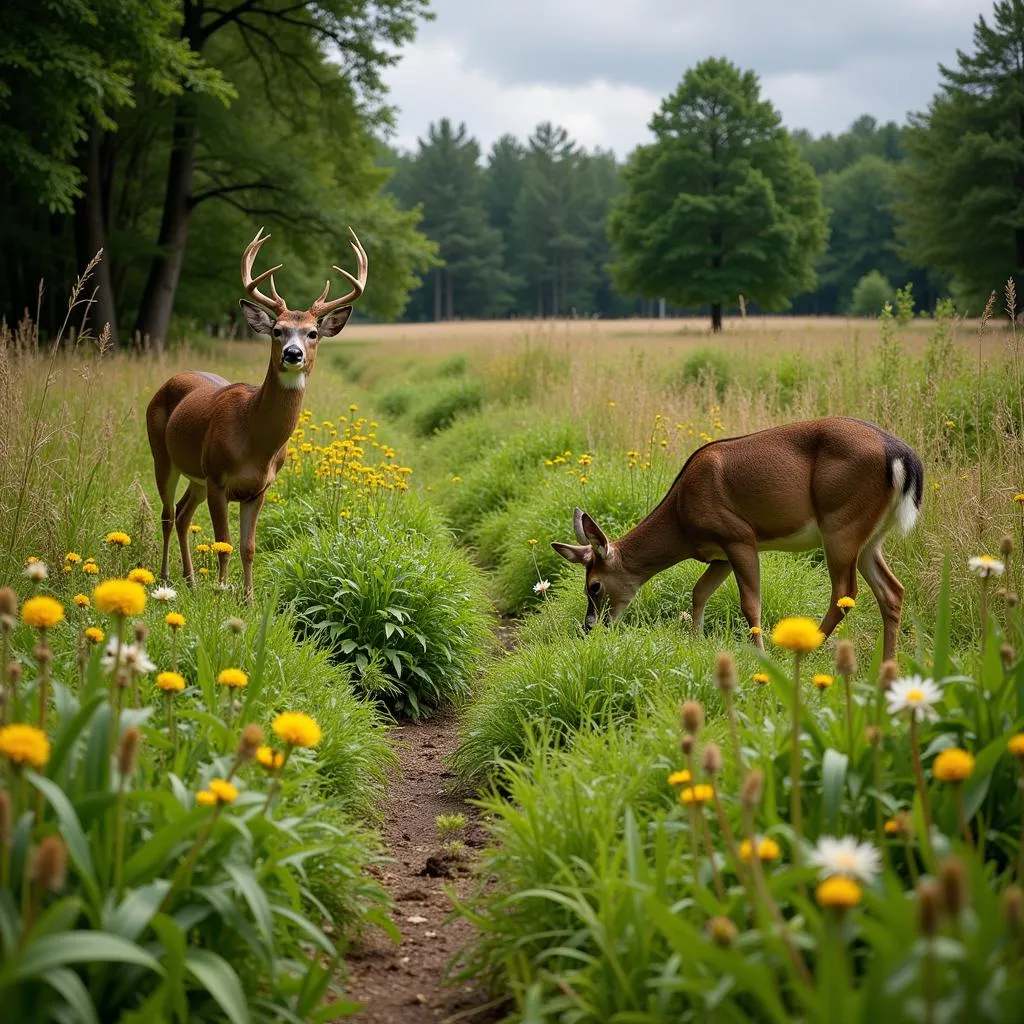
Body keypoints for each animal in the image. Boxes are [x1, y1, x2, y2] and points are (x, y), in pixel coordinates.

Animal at [144, 220, 368, 598]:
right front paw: (221, 594)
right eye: (277, 330)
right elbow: (223, 544)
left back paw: (190, 579)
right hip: (163, 454)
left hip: (197, 474)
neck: (253, 440)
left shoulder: (260, 488)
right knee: (167, 513)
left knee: (183, 512)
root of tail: (172, 378)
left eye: (313, 333)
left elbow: (248, 547)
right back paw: (165, 578)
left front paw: (247, 600)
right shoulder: (218, 477)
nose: (292, 354)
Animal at [557, 417, 925, 663]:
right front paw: (694, 642)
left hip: (841, 524)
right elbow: (699, 592)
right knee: (892, 590)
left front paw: (759, 656)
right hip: (870, 537)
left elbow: (750, 603)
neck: (681, 518)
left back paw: (805, 651)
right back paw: (887, 665)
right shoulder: (718, 554)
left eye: (594, 586)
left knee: (845, 594)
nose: (589, 627)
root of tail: (903, 456)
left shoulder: (738, 536)